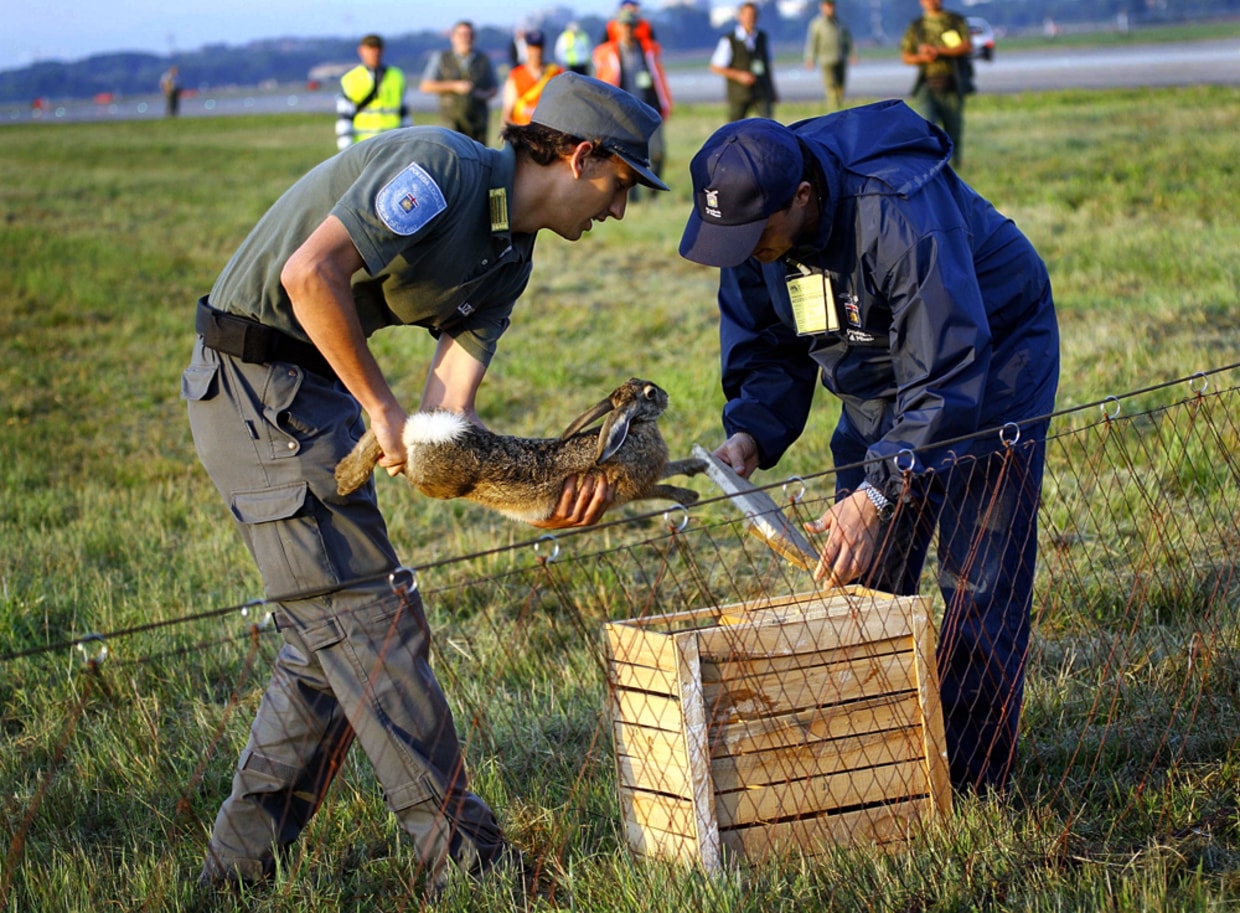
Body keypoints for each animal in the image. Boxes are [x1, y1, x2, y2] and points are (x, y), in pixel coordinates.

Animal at [334, 378, 707, 523]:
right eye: (649, 393)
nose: (667, 395)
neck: (632, 428)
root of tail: (430, 434)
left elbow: (674, 466)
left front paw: (697, 467)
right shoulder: (635, 486)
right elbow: (661, 489)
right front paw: (689, 496)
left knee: (378, 434)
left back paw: (343, 476)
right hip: (433, 481)